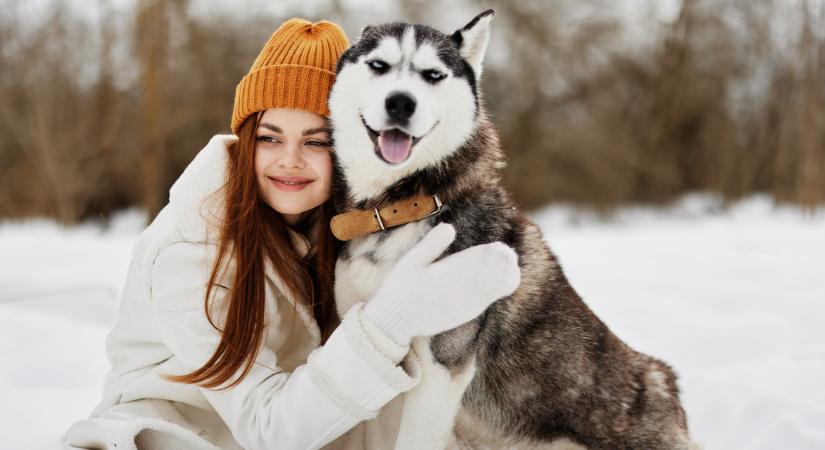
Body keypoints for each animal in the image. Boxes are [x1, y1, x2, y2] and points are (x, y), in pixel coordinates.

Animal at [326, 10, 692, 450]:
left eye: (433, 75)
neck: (400, 208)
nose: (400, 102)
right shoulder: (383, 360)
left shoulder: (440, 368)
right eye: (379, 65)